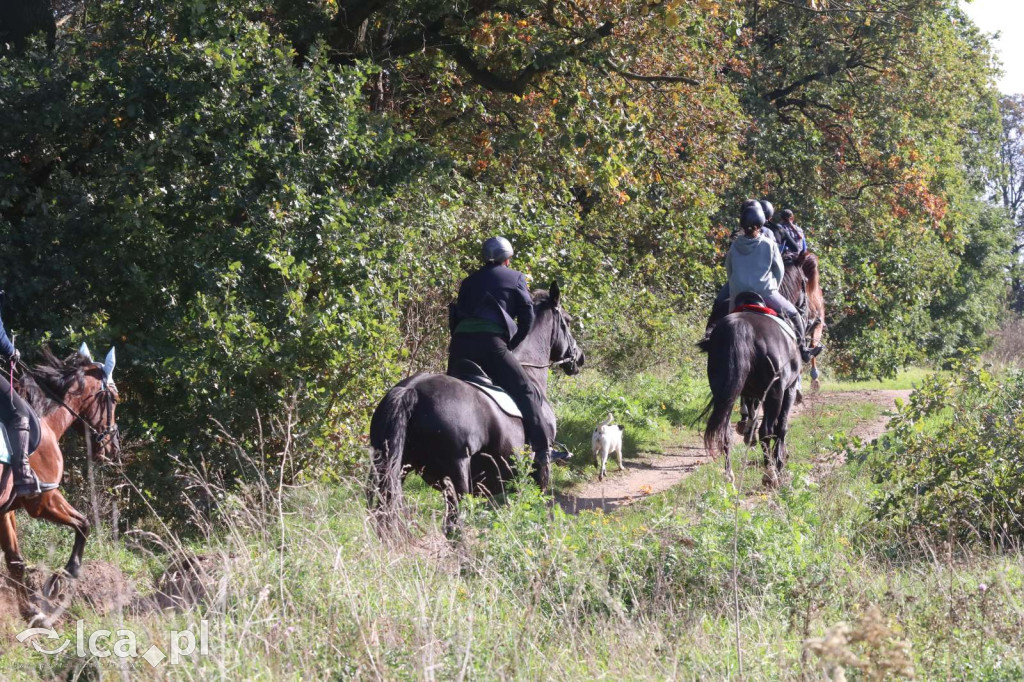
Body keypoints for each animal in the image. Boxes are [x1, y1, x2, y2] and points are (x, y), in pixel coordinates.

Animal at [0, 348, 118, 618]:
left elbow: (15, 562)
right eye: (116, 400)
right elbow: (83, 524)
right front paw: (64, 576)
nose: (113, 448)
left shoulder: (6, 511)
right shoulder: (44, 499)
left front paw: (29, 610)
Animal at [366, 280, 585, 532]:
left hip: (395, 467)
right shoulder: (539, 473)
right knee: (454, 525)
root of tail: (410, 391)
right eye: (568, 321)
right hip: (456, 474)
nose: (579, 358)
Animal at [704, 254, 806, 483]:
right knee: (766, 430)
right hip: (775, 392)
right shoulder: (788, 389)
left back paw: (729, 476)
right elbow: (781, 427)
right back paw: (770, 474)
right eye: (805, 282)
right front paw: (780, 462)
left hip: (724, 392)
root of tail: (742, 328)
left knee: (725, 431)